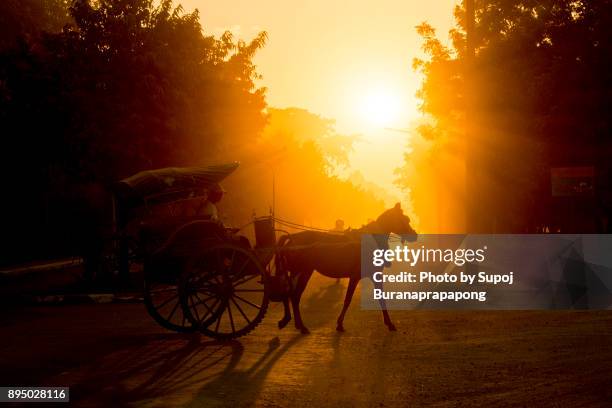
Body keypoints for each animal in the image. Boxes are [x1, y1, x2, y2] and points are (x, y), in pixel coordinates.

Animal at [276, 204, 416, 334]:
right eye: (405, 219)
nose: (414, 235)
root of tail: (292, 238)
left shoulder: (373, 274)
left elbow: (380, 297)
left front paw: (389, 323)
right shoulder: (356, 276)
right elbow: (348, 299)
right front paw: (340, 324)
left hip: (297, 271)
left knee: (291, 294)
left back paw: (297, 324)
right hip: (303, 271)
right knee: (294, 295)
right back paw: (301, 326)